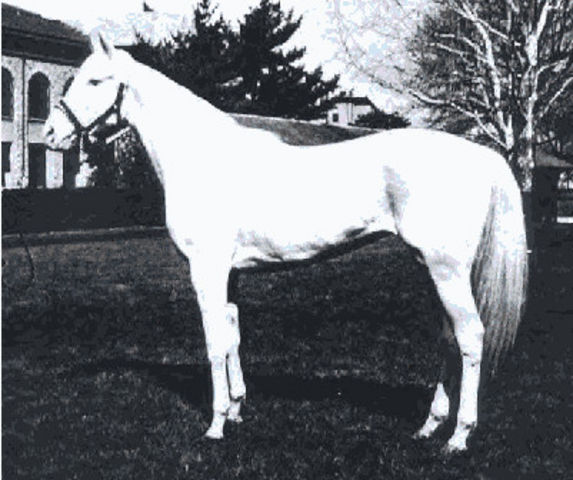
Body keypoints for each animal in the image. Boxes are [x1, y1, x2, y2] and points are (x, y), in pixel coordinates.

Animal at [44, 32, 528, 454]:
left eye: (95, 80)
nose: (49, 134)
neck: (200, 156)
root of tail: (479, 154)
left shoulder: (206, 269)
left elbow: (214, 342)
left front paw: (216, 424)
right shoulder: (230, 274)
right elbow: (233, 334)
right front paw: (237, 409)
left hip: (446, 269)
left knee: (470, 336)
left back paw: (459, 436)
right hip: (432, 268)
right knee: (449, 337)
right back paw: (430, 425)